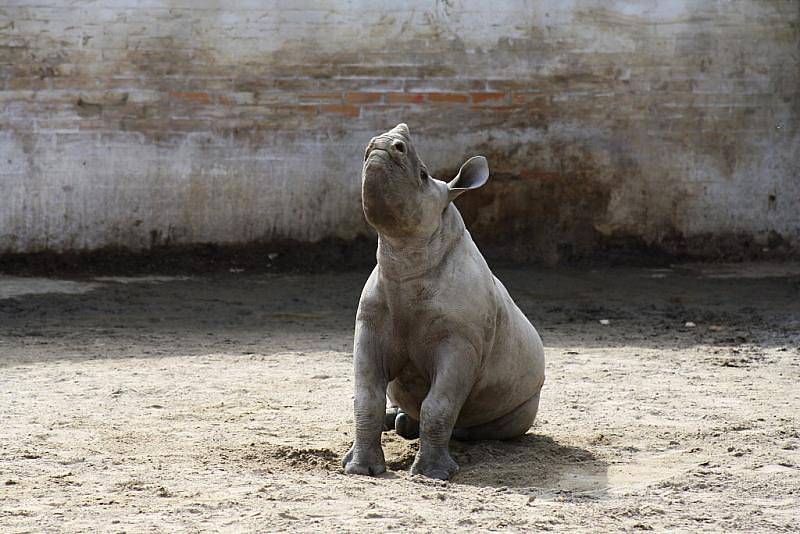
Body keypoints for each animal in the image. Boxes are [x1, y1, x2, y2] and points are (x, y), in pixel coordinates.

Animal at [340, 124, 548, 482]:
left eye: (423, 175)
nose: (383, 143)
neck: (406, 257)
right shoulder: (370, 328)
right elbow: (366, 397)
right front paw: (359, 470)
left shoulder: (461, 341)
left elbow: (440, 403)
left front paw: (433, 475)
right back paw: (398, 423)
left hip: (528, 392)